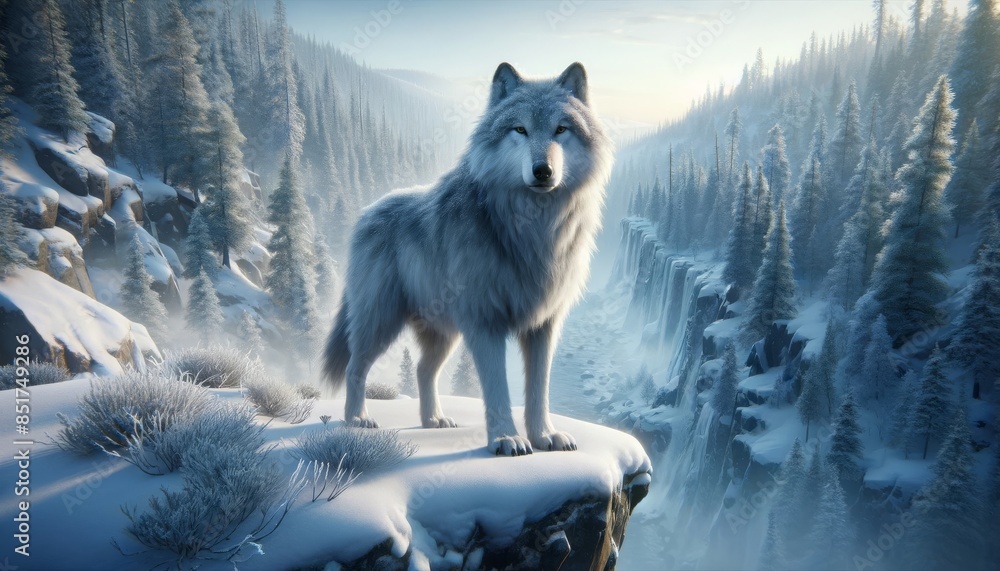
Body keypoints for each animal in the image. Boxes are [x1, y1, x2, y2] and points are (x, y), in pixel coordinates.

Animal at [323, 62, 612, 456]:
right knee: (356, 367)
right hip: (381, 321)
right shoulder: (484, 322)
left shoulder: (543, 325)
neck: (533, 230)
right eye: (520, 129)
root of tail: (367, 211)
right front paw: (507, 439)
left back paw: (433, 421)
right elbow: (497, 388)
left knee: (422, 370)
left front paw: (544, 436)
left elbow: (539, 390)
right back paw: (357, 420)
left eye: (561, 129)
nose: (543, 170)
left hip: (443, 333)